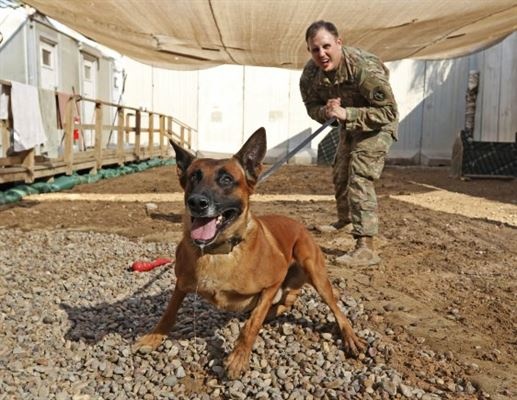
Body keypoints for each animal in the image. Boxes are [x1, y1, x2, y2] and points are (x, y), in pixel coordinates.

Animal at [135, 127, 364, 378]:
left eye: (227, 179)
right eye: (194, 176)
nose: (197, 202)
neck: (218, 251)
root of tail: (299, 224)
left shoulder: (272, 282)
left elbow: (251, 325)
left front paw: (238, 358)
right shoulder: (181, 284)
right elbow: (168, 312)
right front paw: (154, 337)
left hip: (314, 272)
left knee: (334, 309)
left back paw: (350, 336)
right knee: (288, 300)